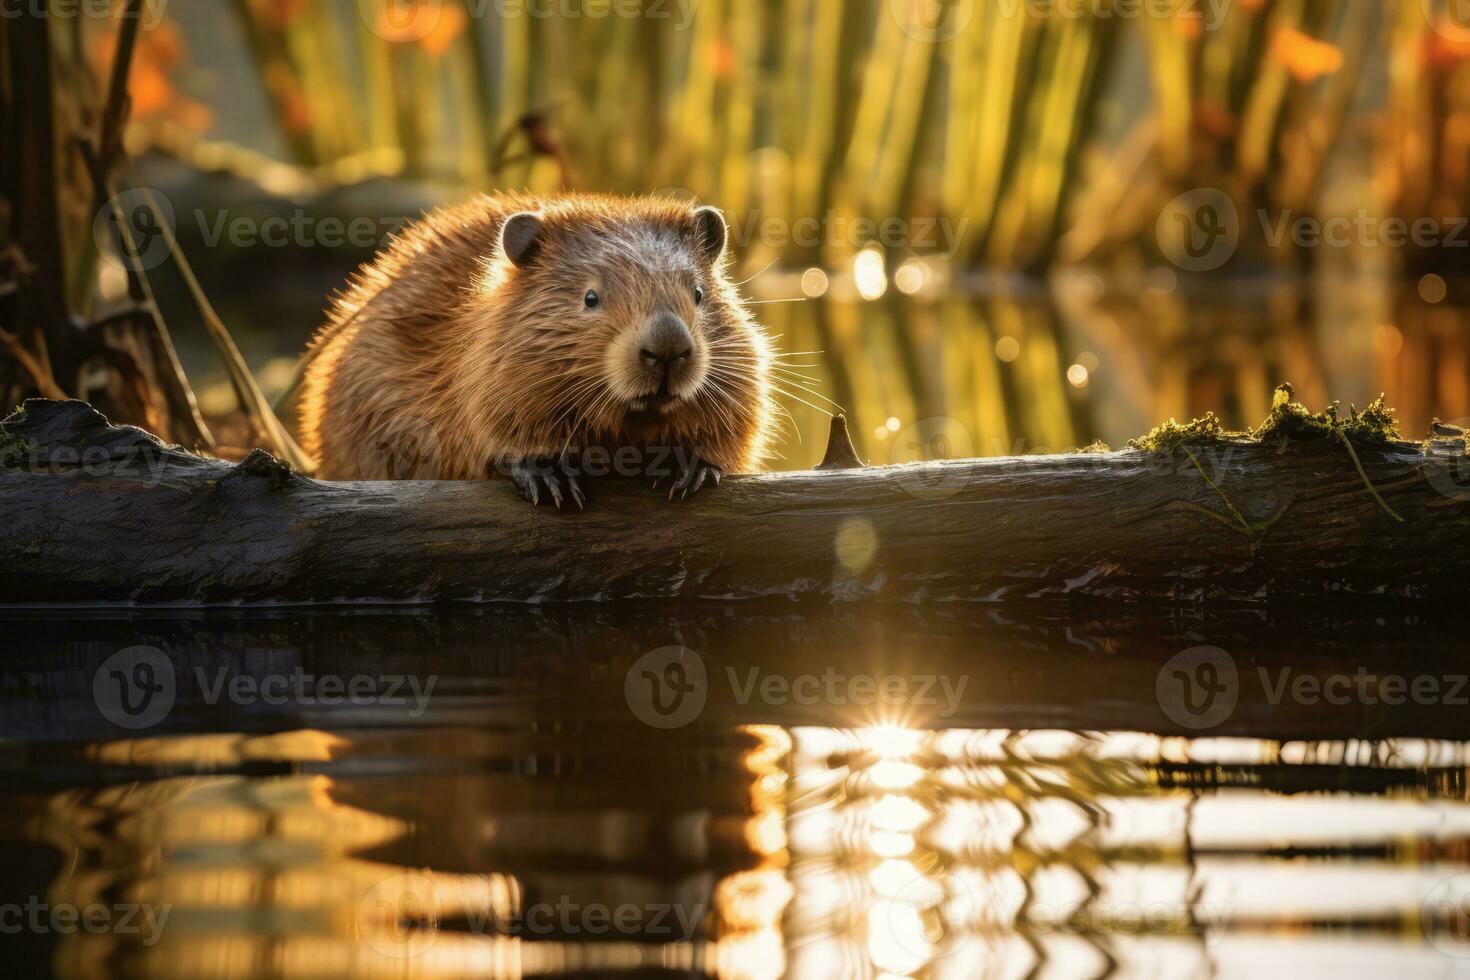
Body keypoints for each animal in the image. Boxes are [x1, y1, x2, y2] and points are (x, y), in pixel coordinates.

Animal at [298, 193, 782, 511]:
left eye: (698, 293)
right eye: (591, 297)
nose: (667, 349)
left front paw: (693, 468)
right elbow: (490, 424)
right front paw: (548, 477)